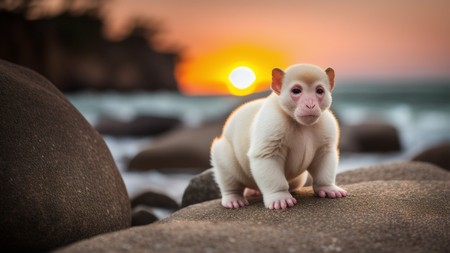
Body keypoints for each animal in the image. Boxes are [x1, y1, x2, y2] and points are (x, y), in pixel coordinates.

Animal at [211, 63, 348, 210]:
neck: (299, 123)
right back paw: (233, 198)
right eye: (296, 91)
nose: (310, 105)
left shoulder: (326, 129)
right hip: (225, 155)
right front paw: (280, 197)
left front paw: (328, 188)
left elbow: (324, 158)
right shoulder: (272, 125)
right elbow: (267, 159)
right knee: (227, 172)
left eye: (319, 91)